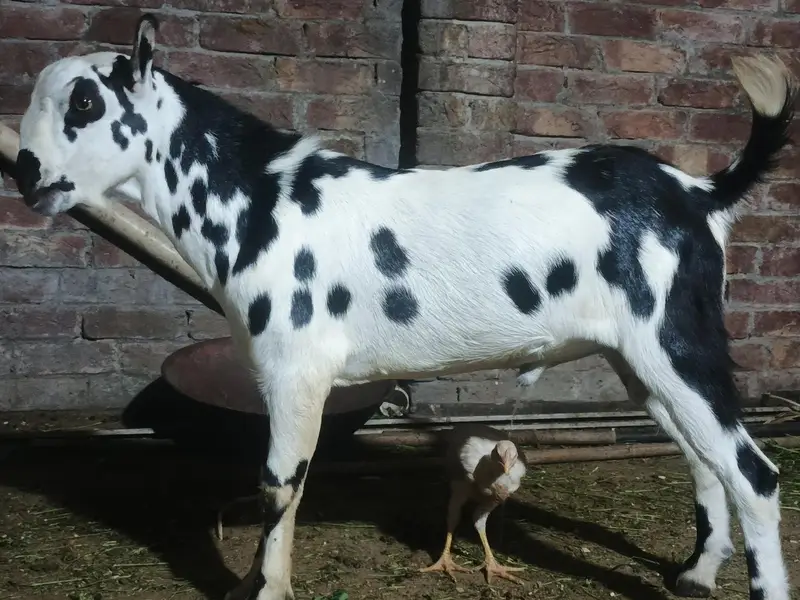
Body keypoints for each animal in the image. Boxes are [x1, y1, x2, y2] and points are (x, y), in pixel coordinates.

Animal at [15, 15, 795, 600]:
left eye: (85, 103)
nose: (25, 172)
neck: (261, 200)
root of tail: (699, 193)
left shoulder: (297, 374)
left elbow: (278, 488)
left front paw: (266, 588)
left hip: (679, 345)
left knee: (754, 475)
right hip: (646, 363)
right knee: (706, 463)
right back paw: (695, 575)